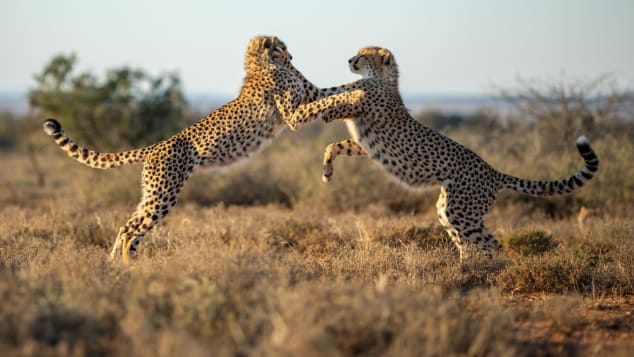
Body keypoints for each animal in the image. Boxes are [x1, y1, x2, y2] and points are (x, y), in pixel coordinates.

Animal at [42, 35, 362, 262]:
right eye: (282, 47)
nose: (292, 55)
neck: (263, 63)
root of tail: (157, 145)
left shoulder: (311, 93)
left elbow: (336, 89)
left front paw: (361, 89)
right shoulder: (294, 115)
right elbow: (329, 98)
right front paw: (358, 94)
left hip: (152, 193)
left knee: (126, 225)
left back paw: (114, 264)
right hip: (164, 194)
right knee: (133, 229)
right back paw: (128, 266)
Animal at [292, 46, 596, 258]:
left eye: (363, 56)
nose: (349, 60)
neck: (383, 79)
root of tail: (494, 171)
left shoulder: (361, 103)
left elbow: (335, 98)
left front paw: (317, 112)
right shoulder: (364, 144)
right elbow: (335, 137)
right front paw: (327, 168)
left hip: (461, 211)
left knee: (491, 244)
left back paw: (491, 271)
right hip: (448, 210)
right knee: (470, 242)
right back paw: (470, 268)